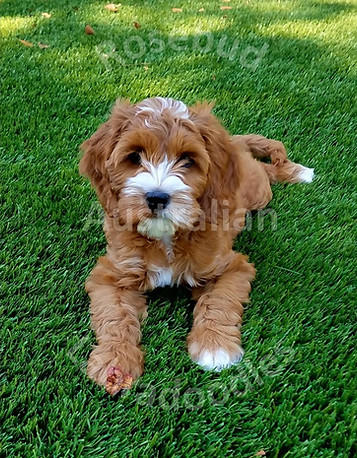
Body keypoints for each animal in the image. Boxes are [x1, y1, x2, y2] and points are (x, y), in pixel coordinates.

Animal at [78, 96, 312, 394]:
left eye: (188, 160)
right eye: (134, 157)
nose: (157, 198)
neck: (167, 237)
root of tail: (235, 143)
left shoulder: (232, 267)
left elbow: (219, 301)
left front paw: (215, 347)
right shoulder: (111, 274)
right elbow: (115, 315)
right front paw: (115, 361)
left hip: (260, 191)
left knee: (268, 171)